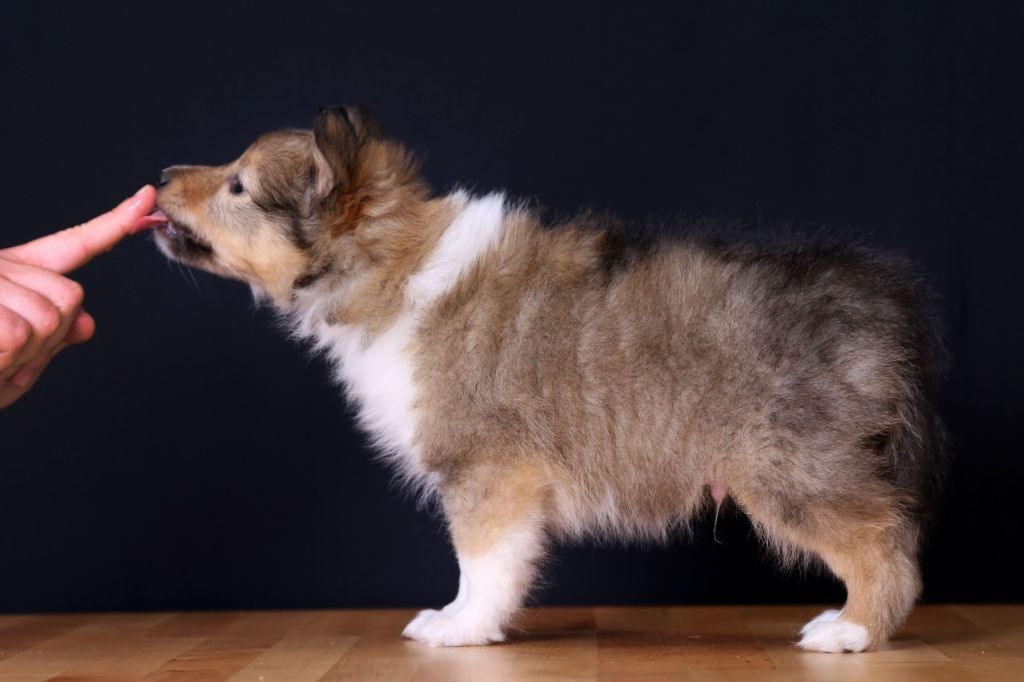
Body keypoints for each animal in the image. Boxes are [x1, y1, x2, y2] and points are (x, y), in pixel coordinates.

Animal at [151, 105, 949, 652]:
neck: (390, 267)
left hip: (789, 468)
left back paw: (849, 631)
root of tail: (884, 302)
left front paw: (458, 627)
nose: (157, 178)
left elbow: (481, 561)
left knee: (886, 550)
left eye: (238, 186)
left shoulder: (488, 469)